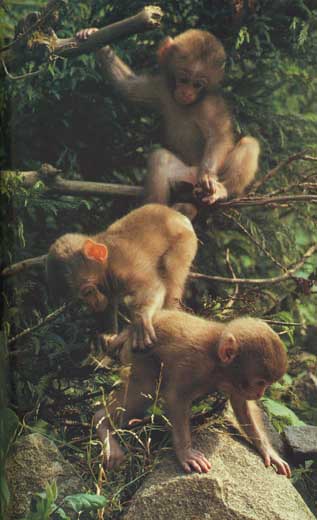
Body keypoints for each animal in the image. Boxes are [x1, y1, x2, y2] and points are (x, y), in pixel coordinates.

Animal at [45, 204, 196, 350]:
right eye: (81, 300)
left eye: (88, 292)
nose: (93, 304)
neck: (107, 265)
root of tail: (177, 215)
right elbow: (108, 305)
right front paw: (108, 334)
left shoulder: (125, 264)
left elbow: (151, 287)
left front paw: (141, 317)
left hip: (185, 240)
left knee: (171, 270)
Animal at [76, 26, 260, 217]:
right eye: (183, 79)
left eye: (198, 85)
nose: (187, 93)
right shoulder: (161, 88)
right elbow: (127, 87)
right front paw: (93, 37)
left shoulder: (210, 105)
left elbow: (219, 136)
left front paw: (208, 174)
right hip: (185, 177)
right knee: (160, 158)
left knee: (249, 143)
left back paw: (222, 190)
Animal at [95, 308, 290, 480]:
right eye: (260, 383)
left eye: (266, 384)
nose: (259, 393)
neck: (217, 362)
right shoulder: (195, 363)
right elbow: (176, 397)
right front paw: (185, 453)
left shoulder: (236, 383)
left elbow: (241, 404)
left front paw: (268, 451)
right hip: (138, 354)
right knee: (146, 388)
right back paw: (102, 422)